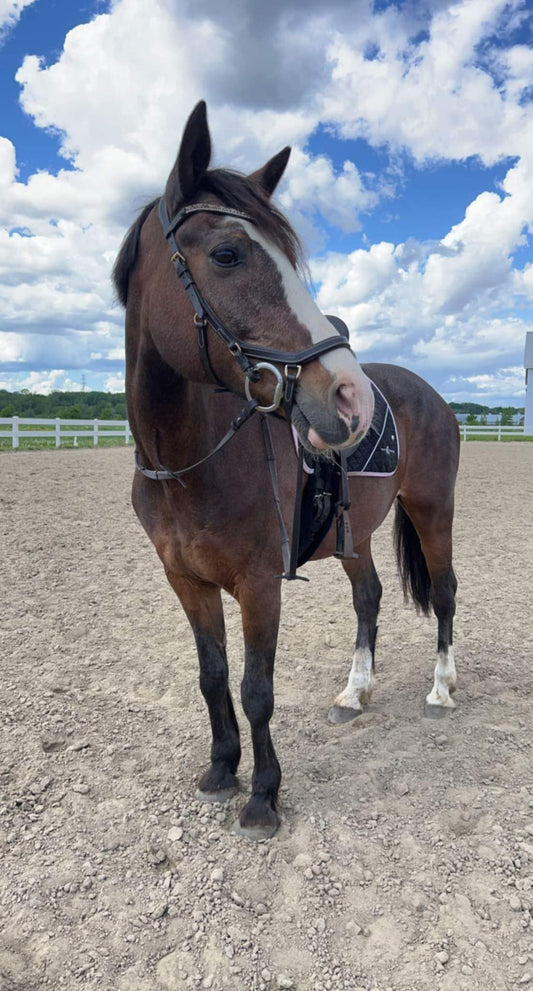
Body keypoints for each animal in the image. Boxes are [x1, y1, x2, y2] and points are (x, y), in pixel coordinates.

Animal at [113, 101, 458, 840]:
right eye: (227, 253)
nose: (349, 397)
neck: (186, 464)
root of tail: (429, 393)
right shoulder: (186, 581)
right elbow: (212, 678)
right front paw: (221, 770)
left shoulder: (257, 583)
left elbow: (255, 688)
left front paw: (263, 797)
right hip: (356, 536)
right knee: (369, 597)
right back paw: (354, 692)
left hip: (432, 510)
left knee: (444, 592)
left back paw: (442, 690)